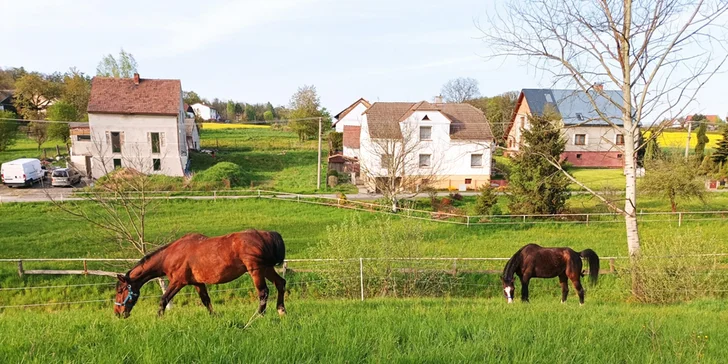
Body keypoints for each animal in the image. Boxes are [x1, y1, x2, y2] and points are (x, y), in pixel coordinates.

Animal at [112, 230, 286, 318]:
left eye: (120, 291)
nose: (117, 313)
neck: (170, 255)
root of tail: (267, 235)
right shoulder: (197, 283)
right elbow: (206, 300)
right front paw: (214, 317)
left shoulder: (178, 282)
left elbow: (163, 300)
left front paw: (158, 319)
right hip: (266, 268)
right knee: (280, 283)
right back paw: (281, 310)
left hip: (256, 270)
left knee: (263, 292)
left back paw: (258, 317)